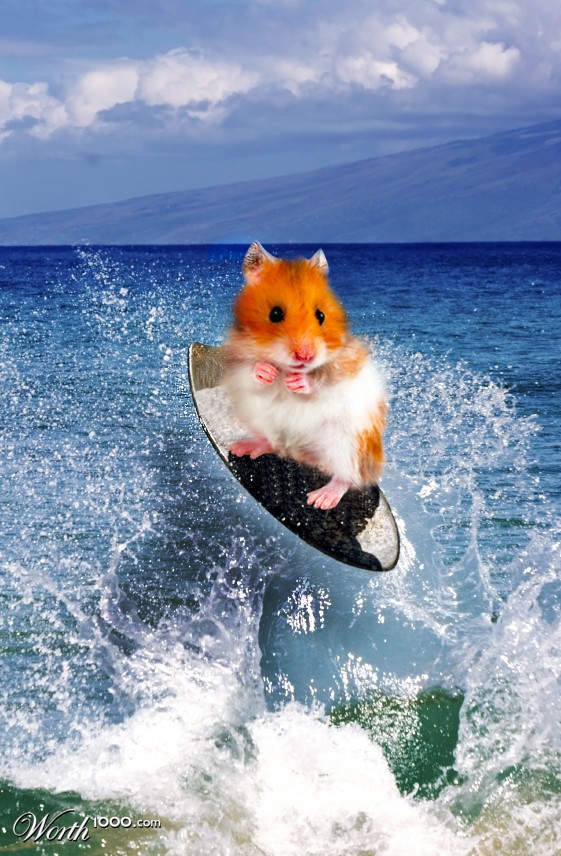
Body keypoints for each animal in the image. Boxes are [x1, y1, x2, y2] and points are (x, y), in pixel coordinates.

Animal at [223, 241, 387, 510]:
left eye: (321, 315)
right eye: (275, 314)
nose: (305, 356)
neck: (288, 367)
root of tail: (301, 453)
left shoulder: (345, 368)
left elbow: (324, 383)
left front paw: (297, 382)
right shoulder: (234, 361)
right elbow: (250, 371)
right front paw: (267, 371)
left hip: (347, 444)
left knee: (347, 478)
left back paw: (320, 499)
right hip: (254, 416)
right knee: (273, 445)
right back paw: (242, 448)